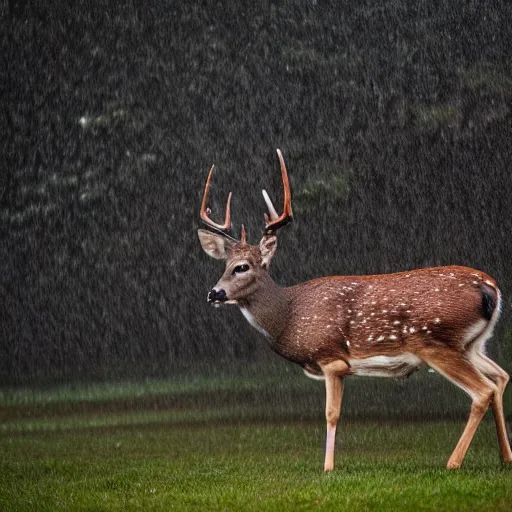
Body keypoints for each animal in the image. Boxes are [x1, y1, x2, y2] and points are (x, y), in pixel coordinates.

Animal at [197, 149, 512, 472]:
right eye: (224, 265)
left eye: (242, 267)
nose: (214, 293)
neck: (289, 317)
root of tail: (490, 289)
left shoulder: (331, 358)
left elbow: (331, 413)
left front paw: (328, 468)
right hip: (472, 344)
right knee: (500, 377)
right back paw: (505, 456)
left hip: (437, 341)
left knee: (483, 390)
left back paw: (453, 462)